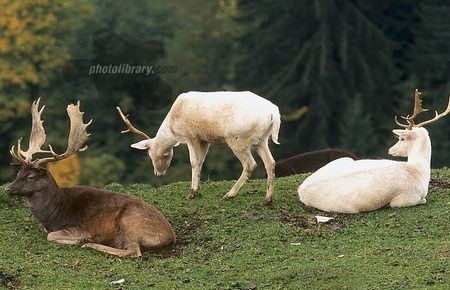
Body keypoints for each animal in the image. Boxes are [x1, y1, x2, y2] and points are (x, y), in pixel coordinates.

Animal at [6, 98, 178, 258]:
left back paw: (90, 244)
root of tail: (171, 236)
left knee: (133, 251)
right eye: (18, 173)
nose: (8, 188)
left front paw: (80, 240)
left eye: (30, 176)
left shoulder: (77, 228)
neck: (53, 213)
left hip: (130, 221)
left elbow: (51, 236)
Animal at [118, 91, 280, 204]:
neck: (173, 126)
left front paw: (191, 193)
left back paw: (229, 195)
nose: (158, 172)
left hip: (237, 139)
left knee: (250, 164)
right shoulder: (204, 140)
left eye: (152, 155)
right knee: (270, 162)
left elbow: (194, 162)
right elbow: (201, 162)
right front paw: (197, 191)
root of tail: (274, 113)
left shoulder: (191, 136)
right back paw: (267, 199)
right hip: (262, 140)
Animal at [298, 89, 450, 214]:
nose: (390, 150)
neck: (419, 172)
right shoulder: (404, 199)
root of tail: (301, 191)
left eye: (402, 138)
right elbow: (422, 200)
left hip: (343, 159)